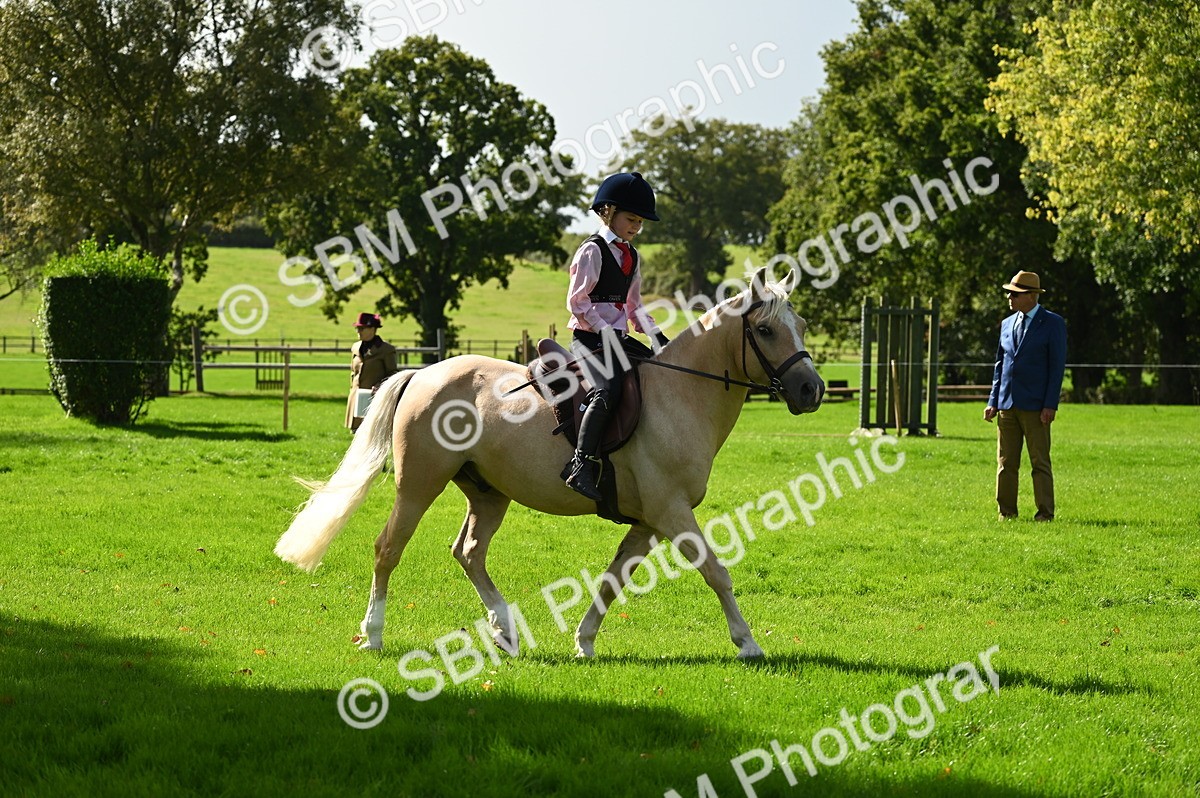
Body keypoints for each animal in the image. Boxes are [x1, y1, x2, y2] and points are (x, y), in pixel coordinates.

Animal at [275, 268, 825, 659]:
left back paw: (505, 631)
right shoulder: (671, 512)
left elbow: (613, 579)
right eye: (765, 329)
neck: (681, 393)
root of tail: (425, 373)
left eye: (800, 326)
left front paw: (584, 642)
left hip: (488, 493)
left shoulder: (649, 520)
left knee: (469, 552)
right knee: (388, 549)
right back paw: (374, 635)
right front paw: (748, 643)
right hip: (419, 486)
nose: (811, 390)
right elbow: (716, 571)